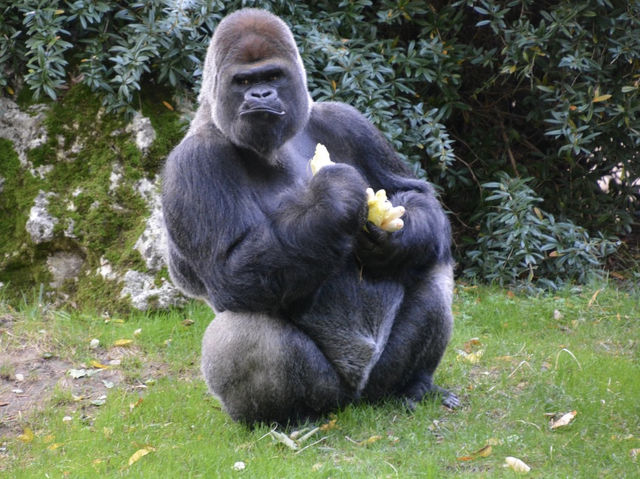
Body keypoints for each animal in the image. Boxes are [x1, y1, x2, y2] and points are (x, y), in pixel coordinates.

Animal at [162, 8, 458, 424]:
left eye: (272, 76)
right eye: (244, 81)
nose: (260, 95)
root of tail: (356, 399)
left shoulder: (346, 119)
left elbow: (415, 192)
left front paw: (392, 242)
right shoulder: (192, 164)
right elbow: (229, 269)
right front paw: (333, 197)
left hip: (378, 380)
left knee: (431, 267)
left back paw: (411, 384)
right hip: (329, 394)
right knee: (242, 331)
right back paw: (284, 418)